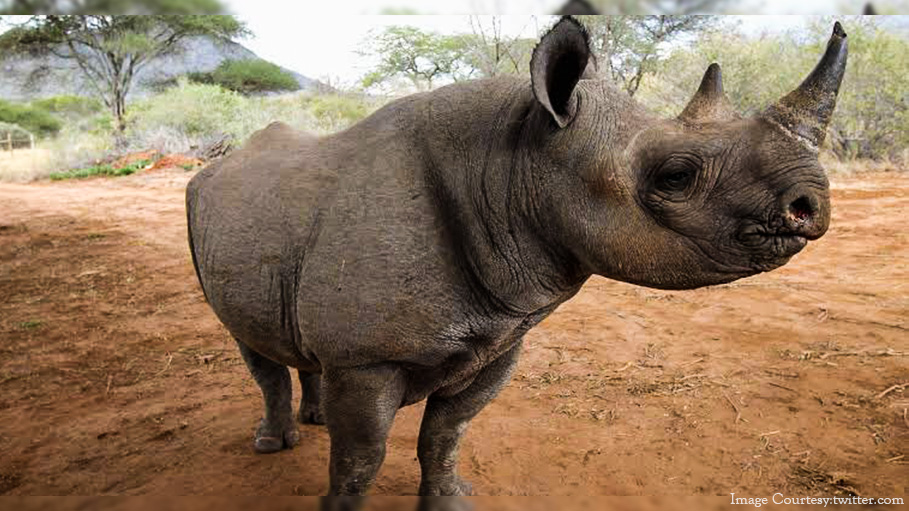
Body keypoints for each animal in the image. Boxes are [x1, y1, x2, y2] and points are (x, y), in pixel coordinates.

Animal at [188, 18, 848, 506]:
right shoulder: (367, 357)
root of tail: (217, 162)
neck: (512, 165)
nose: (811, 205)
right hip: (203, 206)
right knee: (248, 342)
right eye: (675, 177)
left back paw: (314, 418)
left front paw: (449, 500)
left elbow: (446, 433)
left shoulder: (501, 332)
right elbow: (360, 461)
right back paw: (274, 443)